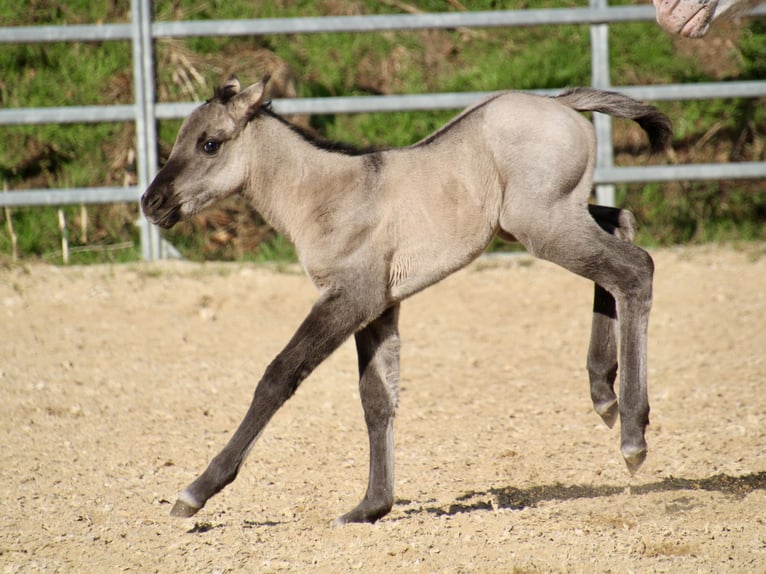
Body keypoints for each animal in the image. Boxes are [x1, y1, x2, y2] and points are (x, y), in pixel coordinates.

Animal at [141, 75, 671, 524]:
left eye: (209, 143)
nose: (151, 202)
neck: (327, 195)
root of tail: (560, 103)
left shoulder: (349, 298)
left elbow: (279, 376)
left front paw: (196, 492)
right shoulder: (377, 308)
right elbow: (377, 399)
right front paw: (370, 507)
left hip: (544, 225)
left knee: (634, 270)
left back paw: (631, 432)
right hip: (554, 218)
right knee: (620, 223)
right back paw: (602, 390)